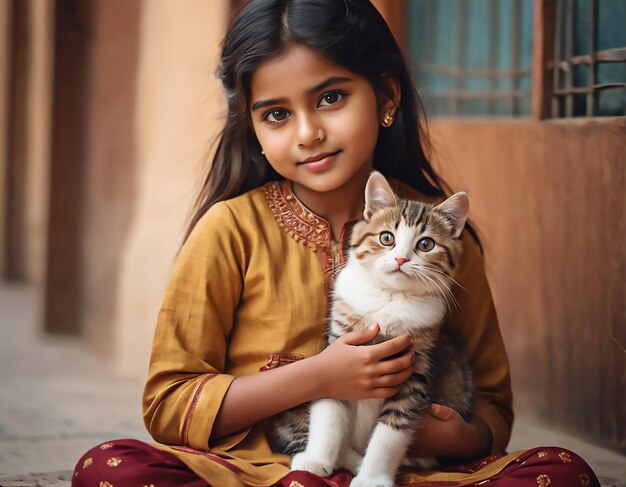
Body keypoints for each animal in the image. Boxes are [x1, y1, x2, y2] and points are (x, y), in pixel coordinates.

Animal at [270, 172, 470, 487]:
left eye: (425, 244)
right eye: (387, 238)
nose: (401, 259)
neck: (389, 297)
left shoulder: (416, 369)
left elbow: (391, 432)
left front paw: (373, 477)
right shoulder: (338, 351)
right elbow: (328, 410)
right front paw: (317, 458)